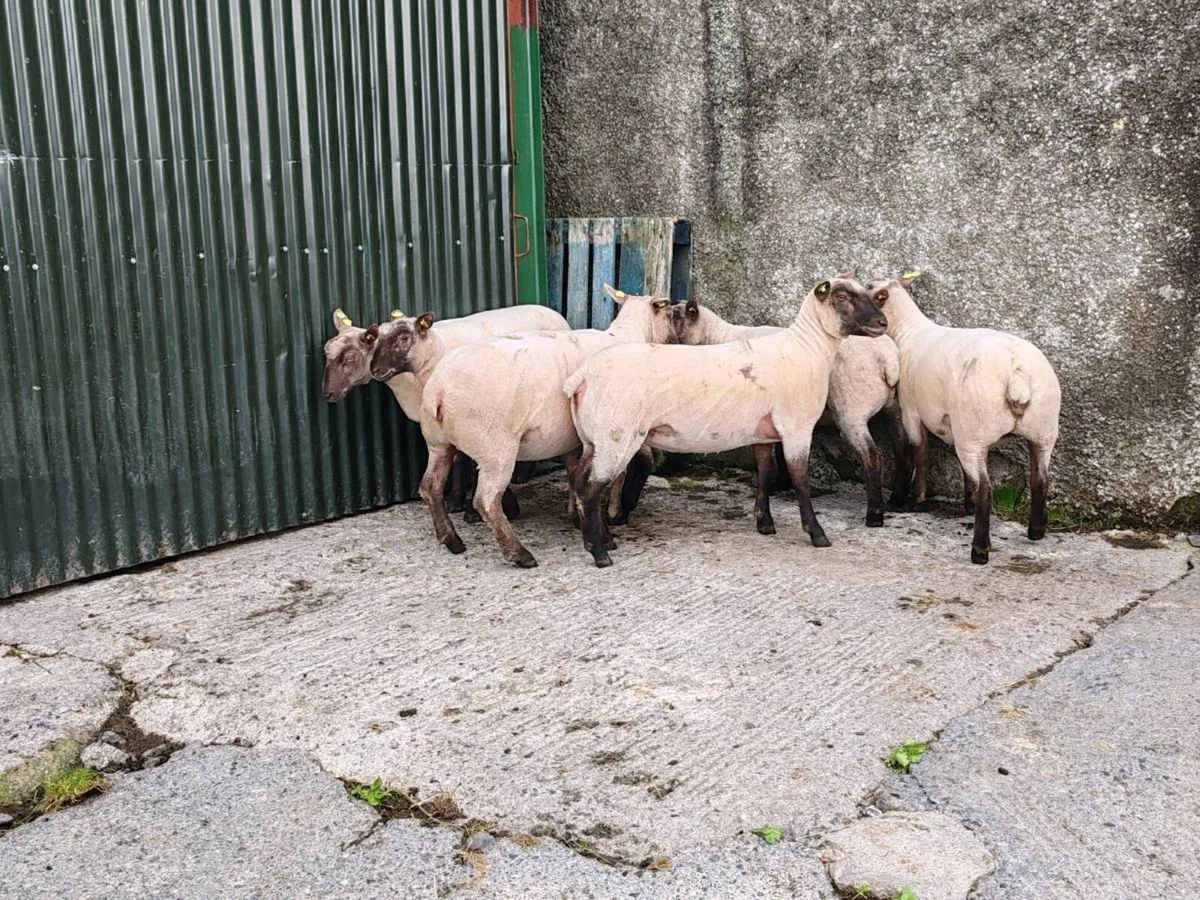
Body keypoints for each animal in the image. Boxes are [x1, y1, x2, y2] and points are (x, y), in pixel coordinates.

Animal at [323, 304, 568, 515]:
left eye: (349, 358)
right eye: (326, 353)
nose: (327, 393)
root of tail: (551, 311)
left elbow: (466, 458)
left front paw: (465, 506)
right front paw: (457, 500)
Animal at [407, 287, 676, 568]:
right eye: (668, 313)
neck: (627, 335)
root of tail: (439, 390)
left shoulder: (572, 441)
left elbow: (573, 475)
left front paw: (578, 517)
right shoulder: (611, 433)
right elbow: (614, 475)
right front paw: (611, 520)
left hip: (438, 443)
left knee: (430, 487)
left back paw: (451, 540)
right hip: (495, 448)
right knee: (486, 500)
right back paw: (518, 553)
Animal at [670, 293, 901, 526]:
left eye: (674, 317)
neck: (717, 338)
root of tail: (887, 359)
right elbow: (781, 451)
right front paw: (782, 483)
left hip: (851, 408)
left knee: (872, 455)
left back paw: (874, 514)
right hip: (896, 409)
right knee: (904, 449)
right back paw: (899, 501)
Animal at [870, 271, 1061, 564]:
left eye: (868, 287)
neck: (907, 331)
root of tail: (1017, 375)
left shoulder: (913, 411)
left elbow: (920, 452)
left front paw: (916, 499)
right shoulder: (954, 425)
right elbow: (962, 469)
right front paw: (967, 502)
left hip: (976, 426)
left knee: (987, 490)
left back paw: (980, 550)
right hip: (1041, 430)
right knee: (1040, 479)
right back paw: (1036, 531)